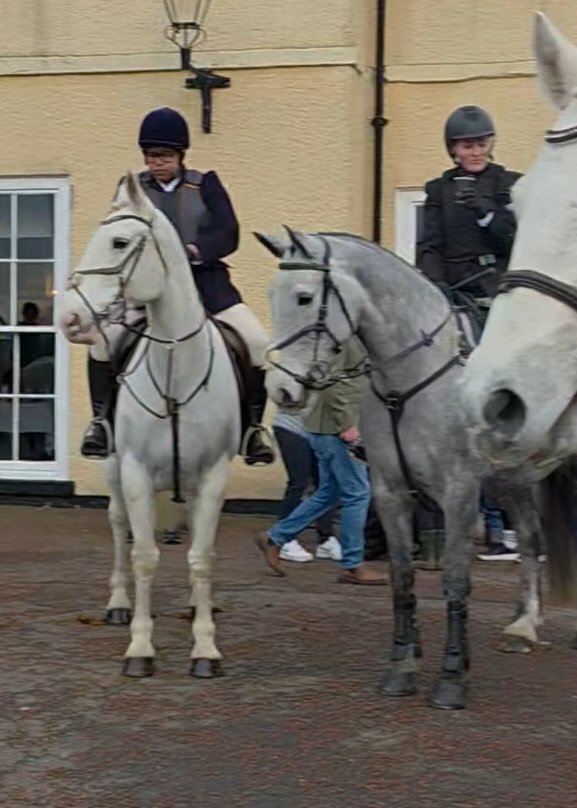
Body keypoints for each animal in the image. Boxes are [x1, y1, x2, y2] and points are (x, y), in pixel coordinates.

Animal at [61, 172, 241, 678]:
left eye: (120, 242)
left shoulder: (213, 476)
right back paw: (119, 604)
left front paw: (205, 647)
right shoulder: (136, 473)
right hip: (114, 471)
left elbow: (202, 559)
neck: (176, 369)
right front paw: (140, 648)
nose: (70, 319)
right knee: (120, 528)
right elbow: (143, 556)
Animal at [257, 226, 547, 710]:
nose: (281, 390)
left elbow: (455, 581)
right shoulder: (392, 493)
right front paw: (402, 665)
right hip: (516, 479)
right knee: (529, 538)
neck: (413, 377)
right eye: (269, 295)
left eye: (303, 296)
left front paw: (452, 675)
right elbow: (402, 578)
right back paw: (523, 625)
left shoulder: (459, 493)